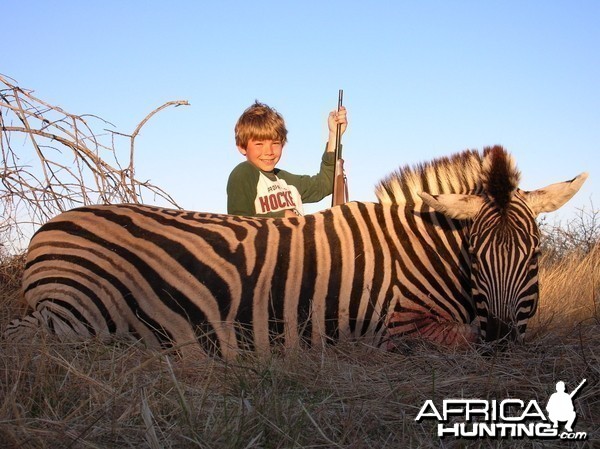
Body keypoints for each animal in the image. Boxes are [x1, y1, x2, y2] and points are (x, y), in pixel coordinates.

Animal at [3, 145, 584, 356]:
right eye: (475, 256)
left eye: (535, 255)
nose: (504, 341)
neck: (418, 254)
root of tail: (47, 228)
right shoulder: (397, 326)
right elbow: (463, 337)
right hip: (82, 316)